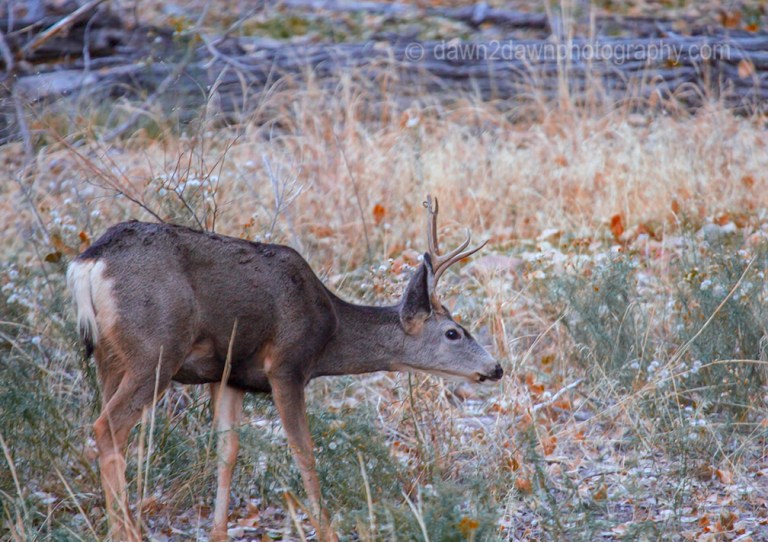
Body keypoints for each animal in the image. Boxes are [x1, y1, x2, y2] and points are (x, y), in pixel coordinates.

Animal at [66, 195, 503, 541]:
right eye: (453, 332)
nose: (496, 368)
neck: (328, 329)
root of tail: (90, 262)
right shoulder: (287, 366)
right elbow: (304, 451)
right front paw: (327, 532)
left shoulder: (229, 375)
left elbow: (227, 451)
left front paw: (218, 532)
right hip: (156, 348)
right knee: (107, 427)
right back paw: (126, 533)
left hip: (110, 357)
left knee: (112, 433)